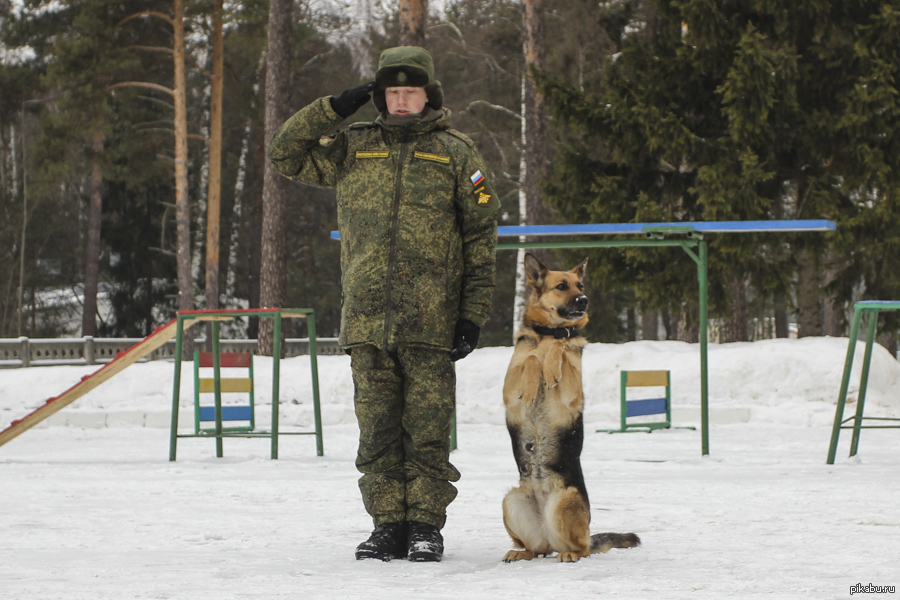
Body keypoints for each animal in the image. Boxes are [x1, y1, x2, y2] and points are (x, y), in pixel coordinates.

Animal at [500, 252, 640, 564]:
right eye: (562, 286)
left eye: (581, 285)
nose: (584, 300)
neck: (547, 333)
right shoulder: (508, 393)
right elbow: (530, 358)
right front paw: (532, 382)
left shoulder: (570, 396)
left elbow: (561, 346)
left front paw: (551, 365)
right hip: (511, 500)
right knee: (537, 548)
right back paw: (521, 551)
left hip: (565, 502)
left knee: (580, 548)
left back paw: (570, 554)